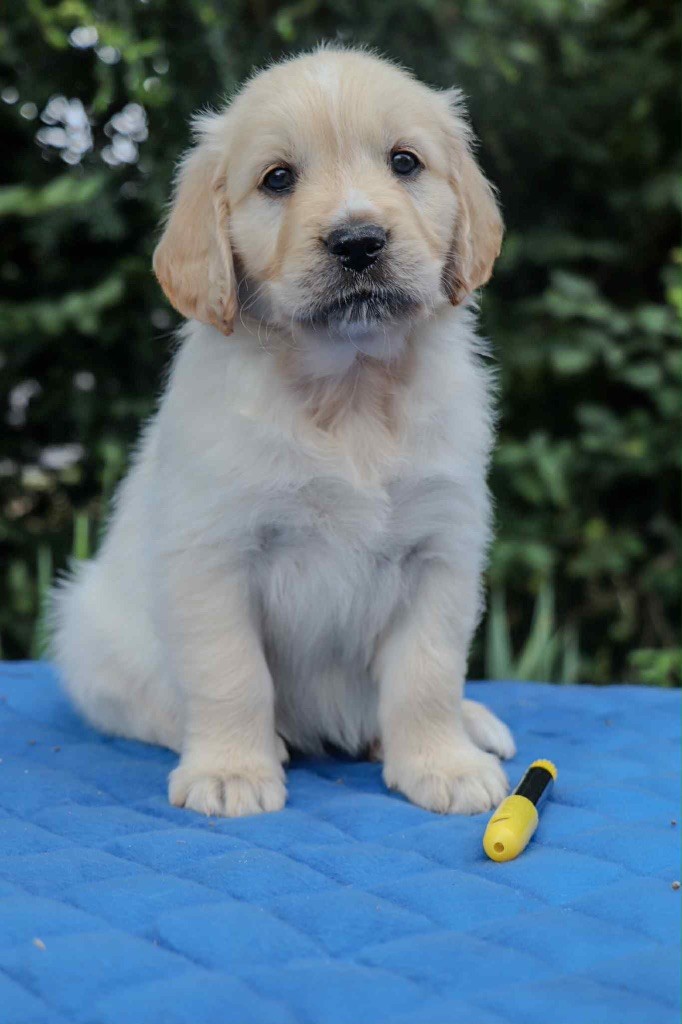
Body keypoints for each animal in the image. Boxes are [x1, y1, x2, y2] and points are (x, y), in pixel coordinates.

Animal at [52, 46, 516, 818]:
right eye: (277, 179)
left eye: (405, 162)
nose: (358, 241)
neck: (349, 388)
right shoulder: (215, 553)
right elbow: (230, 673)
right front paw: (232, 771)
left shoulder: (442, 550)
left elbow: (427, 674)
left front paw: (443, 765)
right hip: (92, 636)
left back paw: (465, 725)